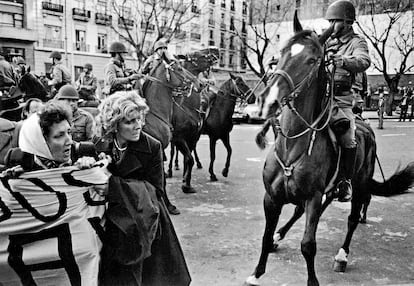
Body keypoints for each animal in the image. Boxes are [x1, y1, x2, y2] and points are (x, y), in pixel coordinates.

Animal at [246, 13, 414, 286]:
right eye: (280, 54)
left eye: (312, 59)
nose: (269, 101)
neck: (292, 146)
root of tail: (366, 125)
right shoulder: (271, 197)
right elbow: (265, 235)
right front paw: (257, 272)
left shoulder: (313, 196)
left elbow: (308, 244)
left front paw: (312, 280)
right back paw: (280, 235)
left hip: (360, 183)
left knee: (353, 218)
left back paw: (342, 255)